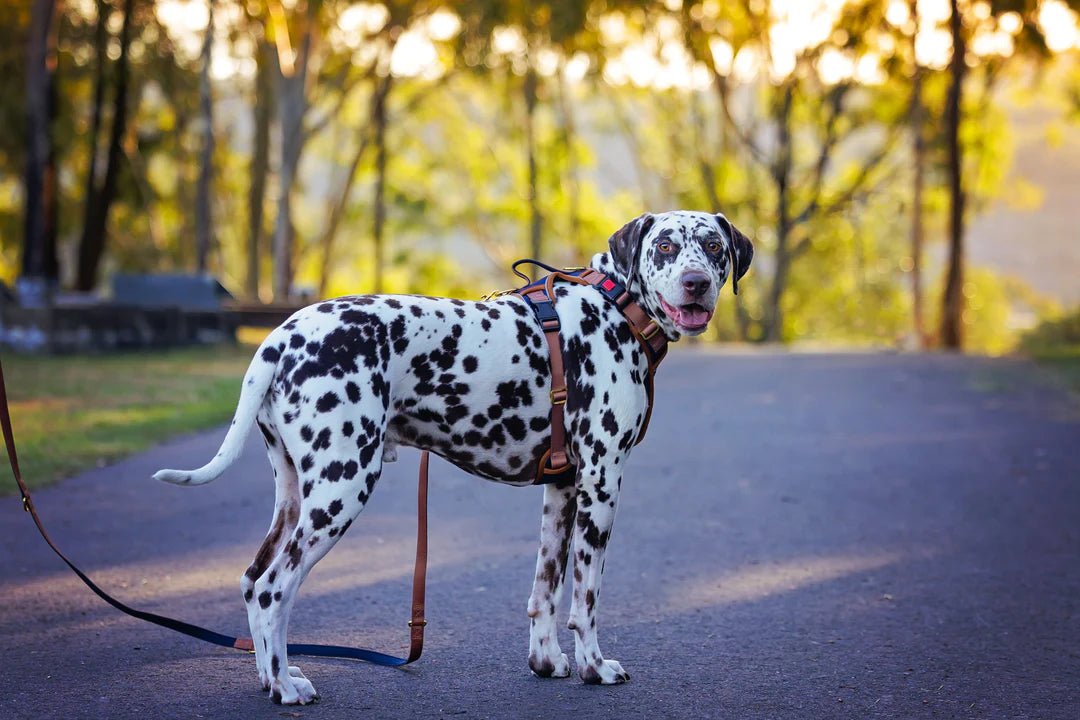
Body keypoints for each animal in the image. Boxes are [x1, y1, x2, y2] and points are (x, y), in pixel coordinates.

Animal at [156, 208, 756, 703]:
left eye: (713, 246)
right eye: (664, 247)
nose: (697, 283)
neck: (616, 304)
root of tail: (281, 335)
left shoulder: (562, 489)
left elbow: (545, 589)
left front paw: (546, 660)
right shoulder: (601, 482)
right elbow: (585, 598)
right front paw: (593, 666)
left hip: (295, 497)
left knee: (252, 580)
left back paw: (273, 676)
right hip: (341, 489)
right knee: (272, 589)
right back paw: (284, 685)